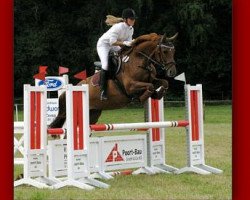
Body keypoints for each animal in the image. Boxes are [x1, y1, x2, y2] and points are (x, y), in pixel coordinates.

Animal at [49, 32, 178, 127]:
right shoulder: (131, 86)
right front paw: (142, 97)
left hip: (93, 114)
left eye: (173, 51)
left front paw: (158, 94)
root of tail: (76, 87)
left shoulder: (152, 79)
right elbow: (149, 86)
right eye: (165, 51)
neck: (139, 61)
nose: (172, 72)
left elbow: (164, 82)